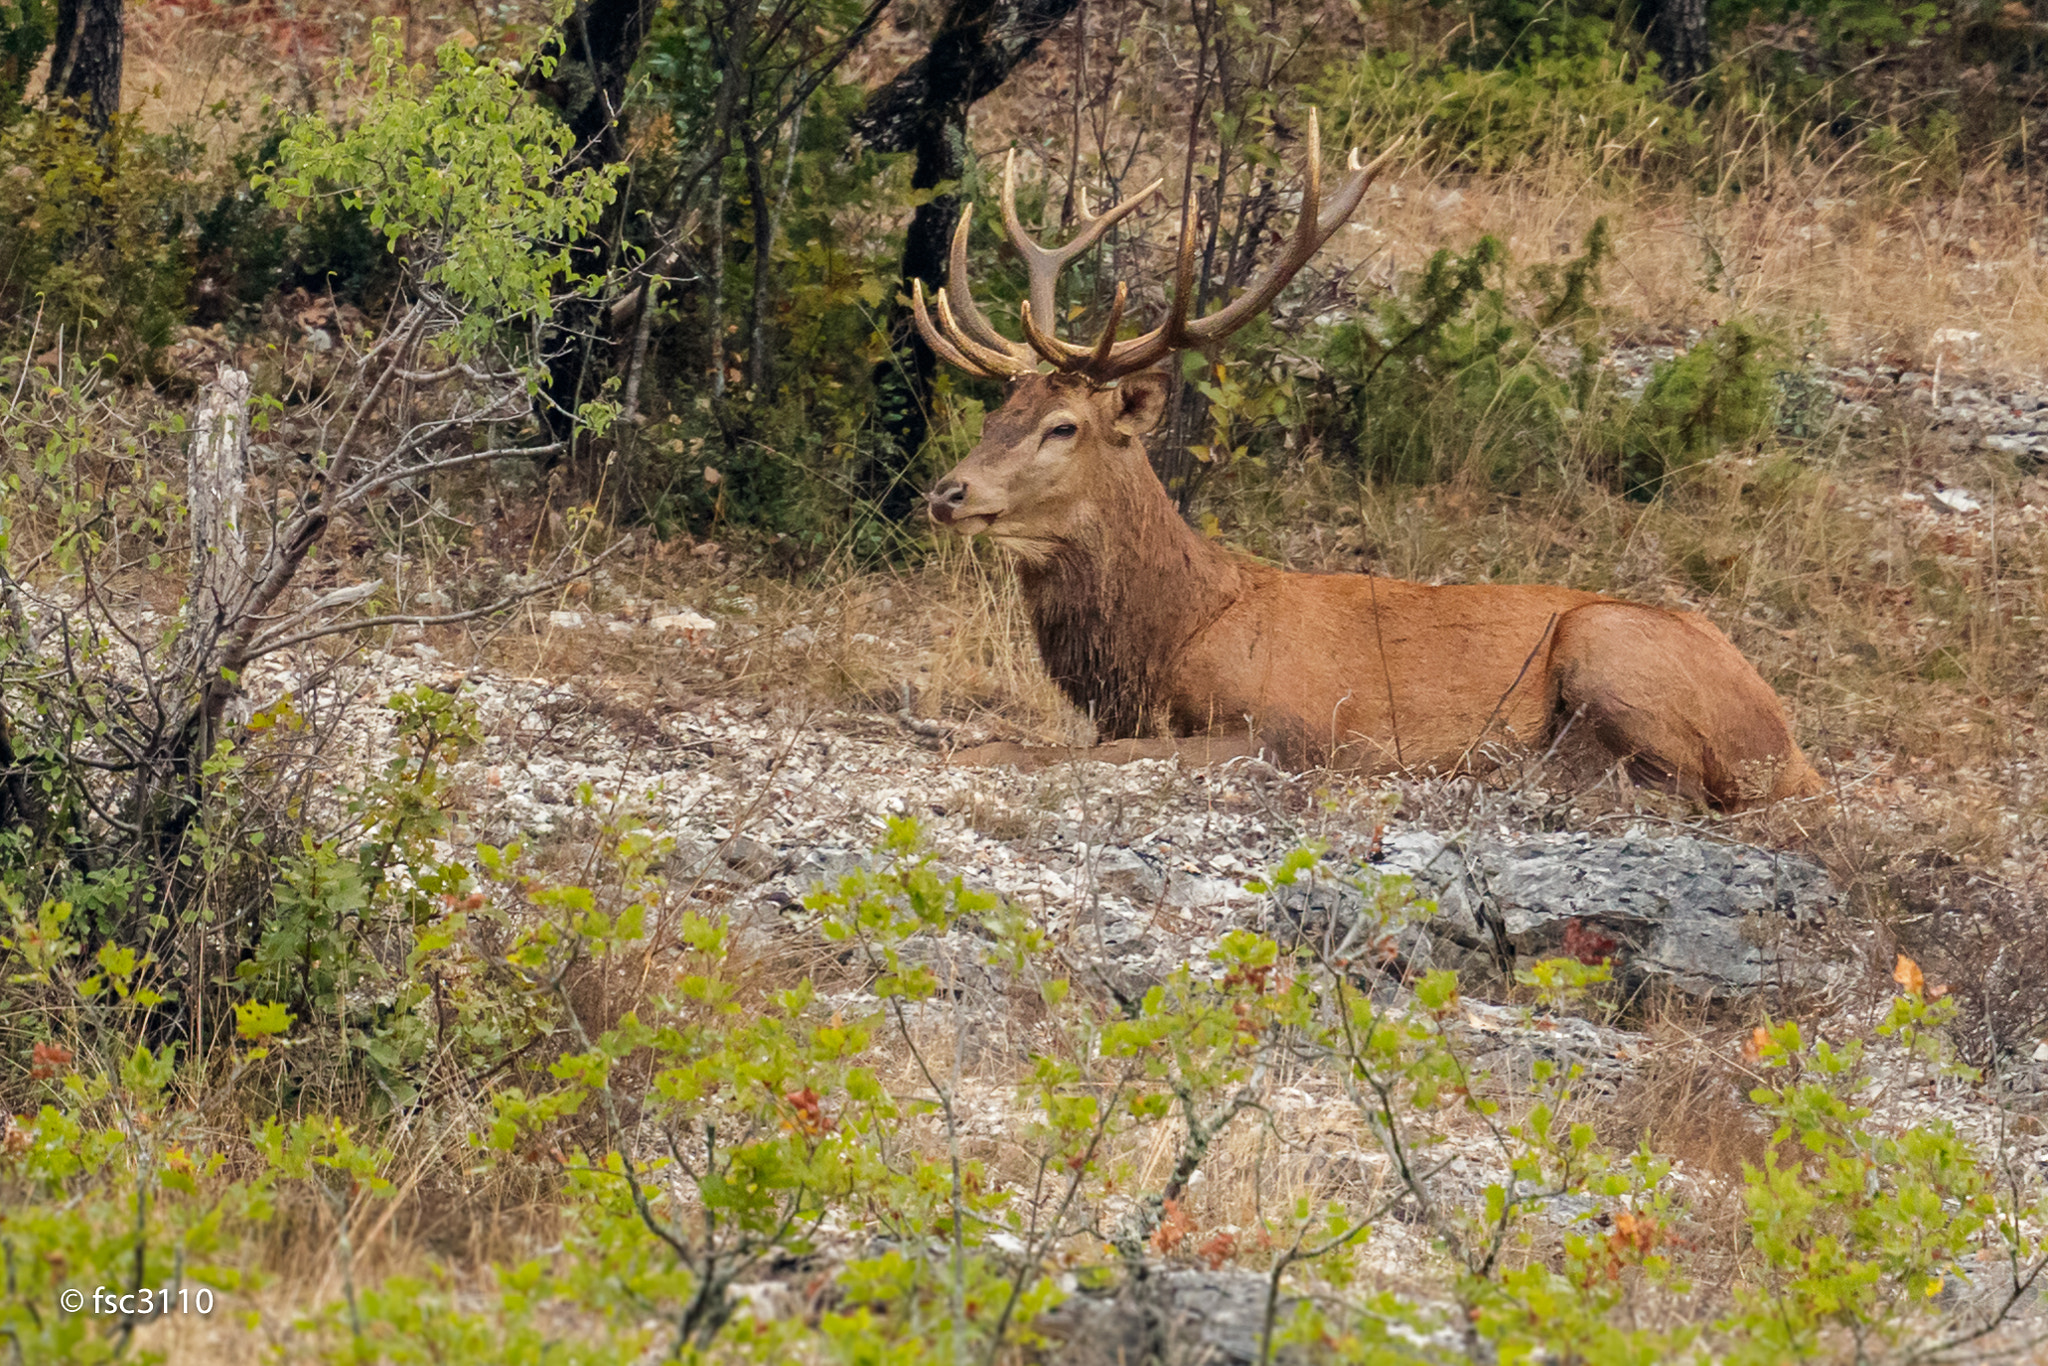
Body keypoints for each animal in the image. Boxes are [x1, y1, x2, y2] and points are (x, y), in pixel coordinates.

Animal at [913, 117, 1826, 806]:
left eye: (1062, 426)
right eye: (999, 412)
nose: (946, 493)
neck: (1173, 631)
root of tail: (1794, 751)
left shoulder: (1278, 728)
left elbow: (1055, 754)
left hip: (1611, 643)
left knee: (1684, 791)